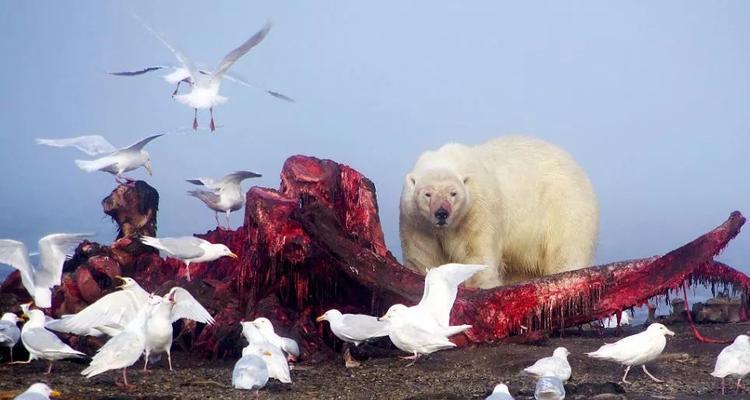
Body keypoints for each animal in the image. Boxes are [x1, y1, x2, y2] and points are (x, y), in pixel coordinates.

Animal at [402, 136, 604, 290]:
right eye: (427, 193)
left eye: (453, 193)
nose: (442, 213)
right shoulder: (417, 222)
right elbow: (423, 257)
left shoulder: (477, 211)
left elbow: (476, 253)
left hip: (565, 206)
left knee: (567, 251)